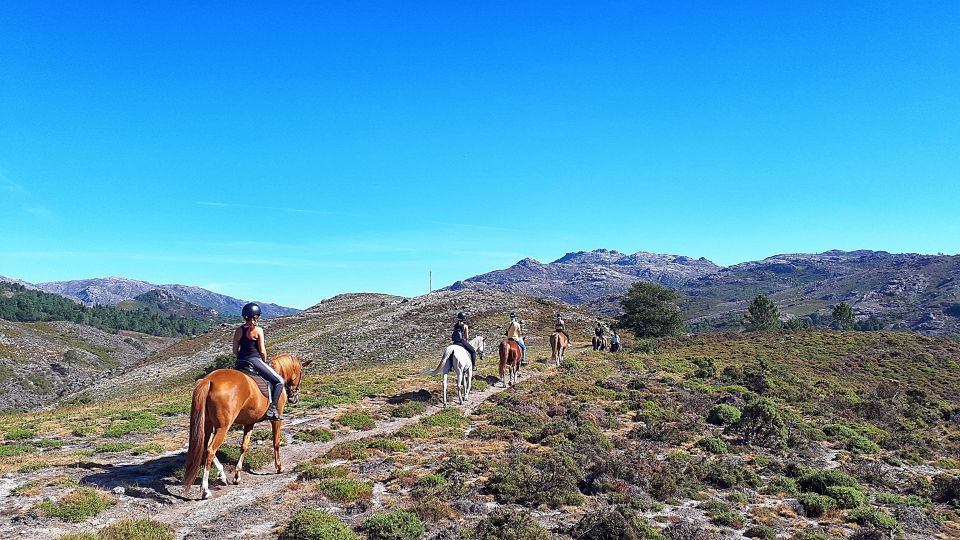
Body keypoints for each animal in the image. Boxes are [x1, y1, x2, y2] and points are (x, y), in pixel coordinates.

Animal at [184, 354, 312, 498]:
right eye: (301, 373)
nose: (294, 398)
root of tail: (209, 380)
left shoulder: (249, 423)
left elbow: (244, 447)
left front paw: (237, 476)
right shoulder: (276, 420)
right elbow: (276, 443)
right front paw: (279, 467)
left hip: (207, 424)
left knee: (206, 446)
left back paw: (222, 476)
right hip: (222, 427)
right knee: (211, 450)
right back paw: (205, 490)